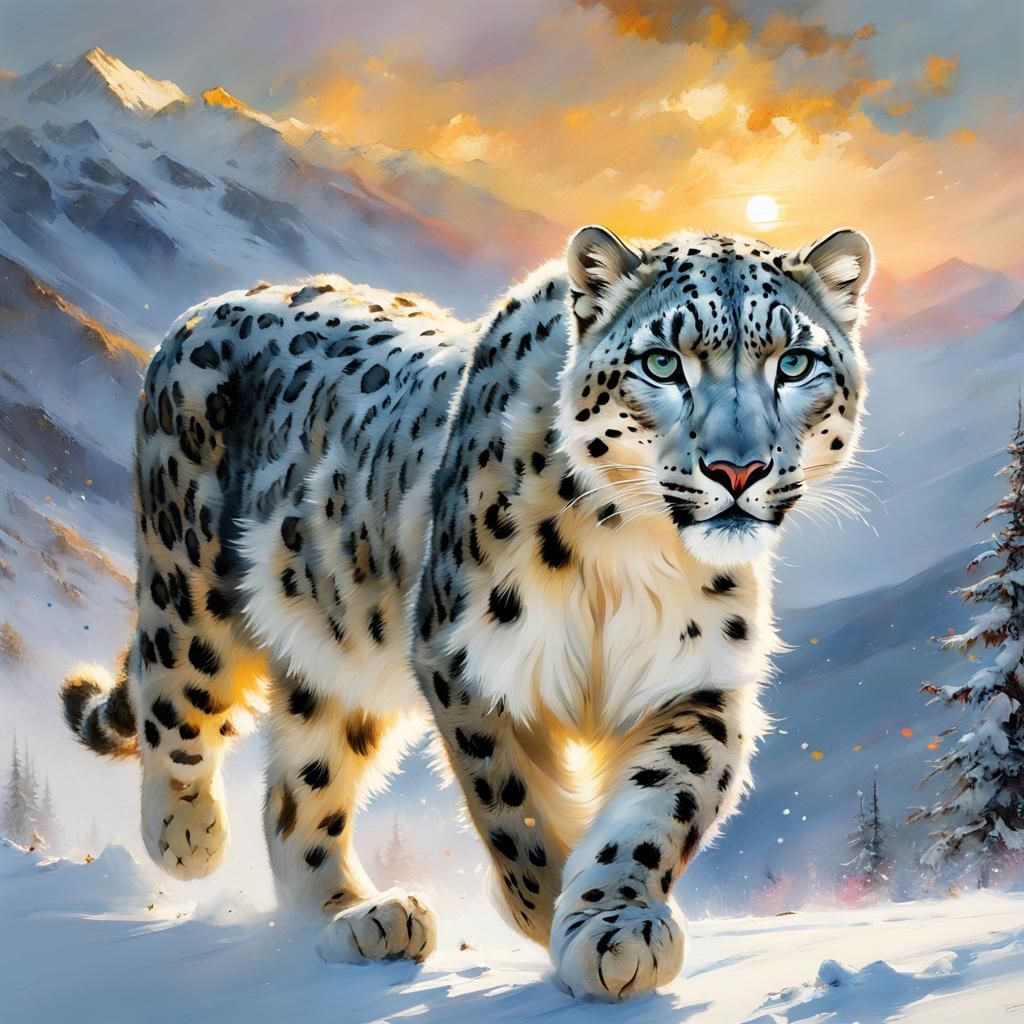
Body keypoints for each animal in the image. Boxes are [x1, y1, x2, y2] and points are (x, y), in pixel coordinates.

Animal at [61, 222, 873, 1000]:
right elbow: (512, 810)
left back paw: (356, 915)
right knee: (173, 694)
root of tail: (207, 307)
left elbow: (662, 805)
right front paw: (548, 912)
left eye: (794, 363)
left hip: (334, 665)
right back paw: (188, 839)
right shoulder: (465, 662)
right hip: (188, 584)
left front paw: (614, 924)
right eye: (663, 363)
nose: (738, 470)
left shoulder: (695, 678)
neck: (635, 553)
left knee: (300, 791)